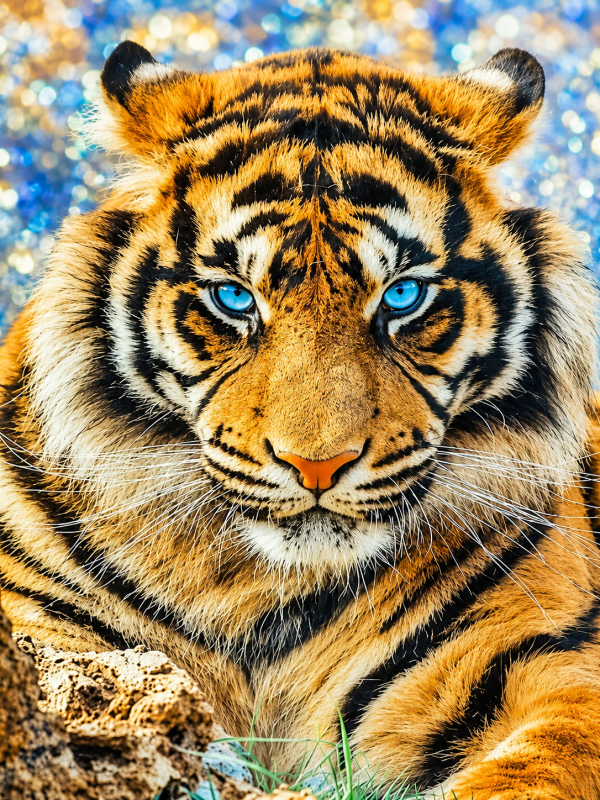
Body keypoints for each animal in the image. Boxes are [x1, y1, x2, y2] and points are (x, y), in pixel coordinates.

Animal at [1, 40, 600, 798]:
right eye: (234, 297)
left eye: (402, 295)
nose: (318, 466)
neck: (256, 587)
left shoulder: (552, 663)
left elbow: (531, 770)